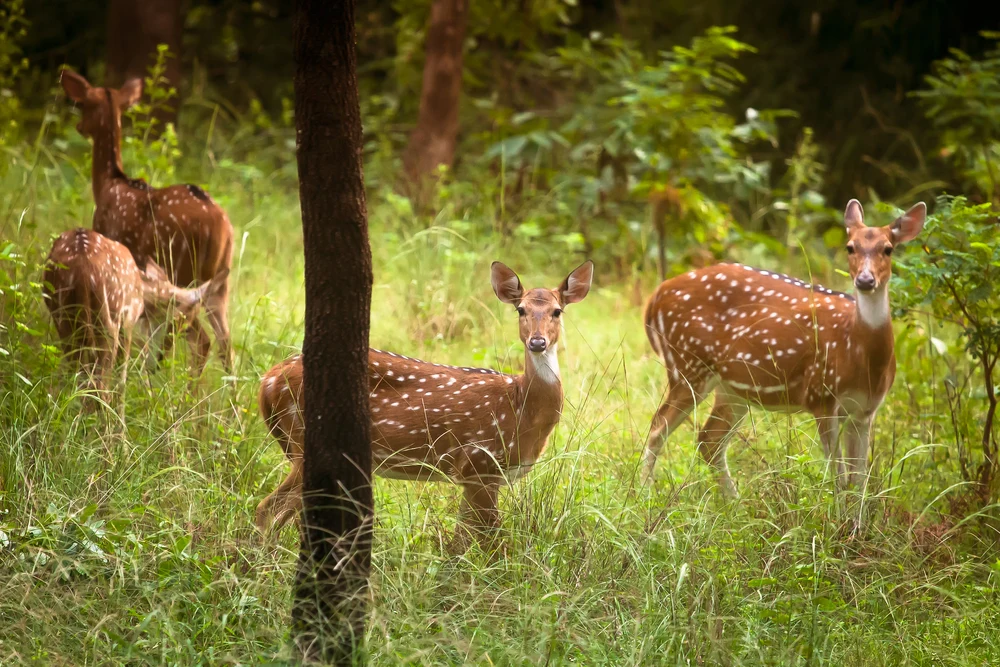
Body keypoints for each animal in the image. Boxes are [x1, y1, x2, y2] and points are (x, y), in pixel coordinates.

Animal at [43, 228, 228, 399]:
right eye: (180, 323)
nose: (157, 363)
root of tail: (82, 267)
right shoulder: (129, 322)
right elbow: (124, 379)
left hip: (64, 319)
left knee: (80, 378)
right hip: (109, 321)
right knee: (102, 386)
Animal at [59, 68, 234, 375]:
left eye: (81, 103)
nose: (79, 126)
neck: (109, 183)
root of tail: (221, 227)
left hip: (180, 268)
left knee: (199, 339)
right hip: (220, 278)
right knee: (226, 345)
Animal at [254, 260, 594, 547]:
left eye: (557, 311)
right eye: (520, 310)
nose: (537, 342)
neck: (522, 408)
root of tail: (267, 381)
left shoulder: (474, 476)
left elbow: (460, 543)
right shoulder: (480, 463)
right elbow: (492, 543)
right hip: (306, 441)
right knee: (267, 509)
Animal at [641, 199, 926, 495]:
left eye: (888, 249)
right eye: (850, 247)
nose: (865, 280)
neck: (858, 352)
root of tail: (655, 297)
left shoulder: (866, 409)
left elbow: (858, 481)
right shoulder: (820, 395)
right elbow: (838, 477)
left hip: (733, 387)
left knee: (708, 440)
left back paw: (736, 501)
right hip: (687, 364)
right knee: (657, 428)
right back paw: (645, 494)